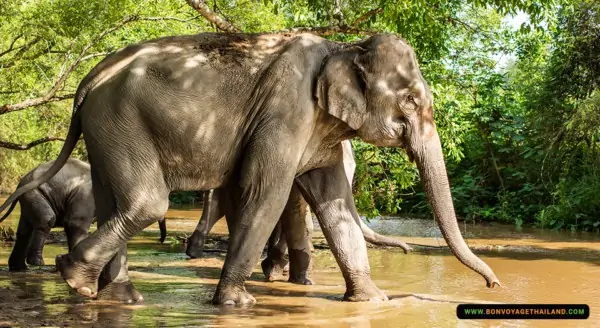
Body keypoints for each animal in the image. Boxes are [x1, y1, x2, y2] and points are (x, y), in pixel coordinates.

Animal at [0, 32, 500, 304]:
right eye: (412, 100)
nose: (493, 283)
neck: (342, 47)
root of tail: (89, 79)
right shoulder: (286, 111)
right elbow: (267, 193)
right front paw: (237, 302)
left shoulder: (319, 129)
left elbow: (335, 205)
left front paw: (373, 302)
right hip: (120, 120)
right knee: (146, 202)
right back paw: (73, 275)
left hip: (107, 129)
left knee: (114, 202)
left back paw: (117, 296)